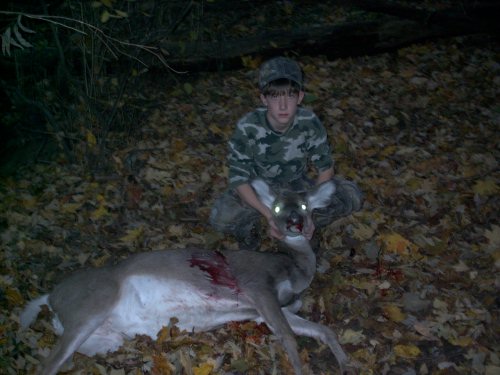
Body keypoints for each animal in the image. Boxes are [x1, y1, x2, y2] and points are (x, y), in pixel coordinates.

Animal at [19, 180, 348, 375]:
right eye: (277, 207)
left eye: (304, 206)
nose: (294, 223)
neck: (294, 270)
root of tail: (50, 296)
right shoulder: (258, 285)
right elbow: (289, 338)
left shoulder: (271, 308)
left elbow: (322, 330)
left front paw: (347, 362)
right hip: (90, 307)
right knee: (45, 366)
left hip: (105, 339)